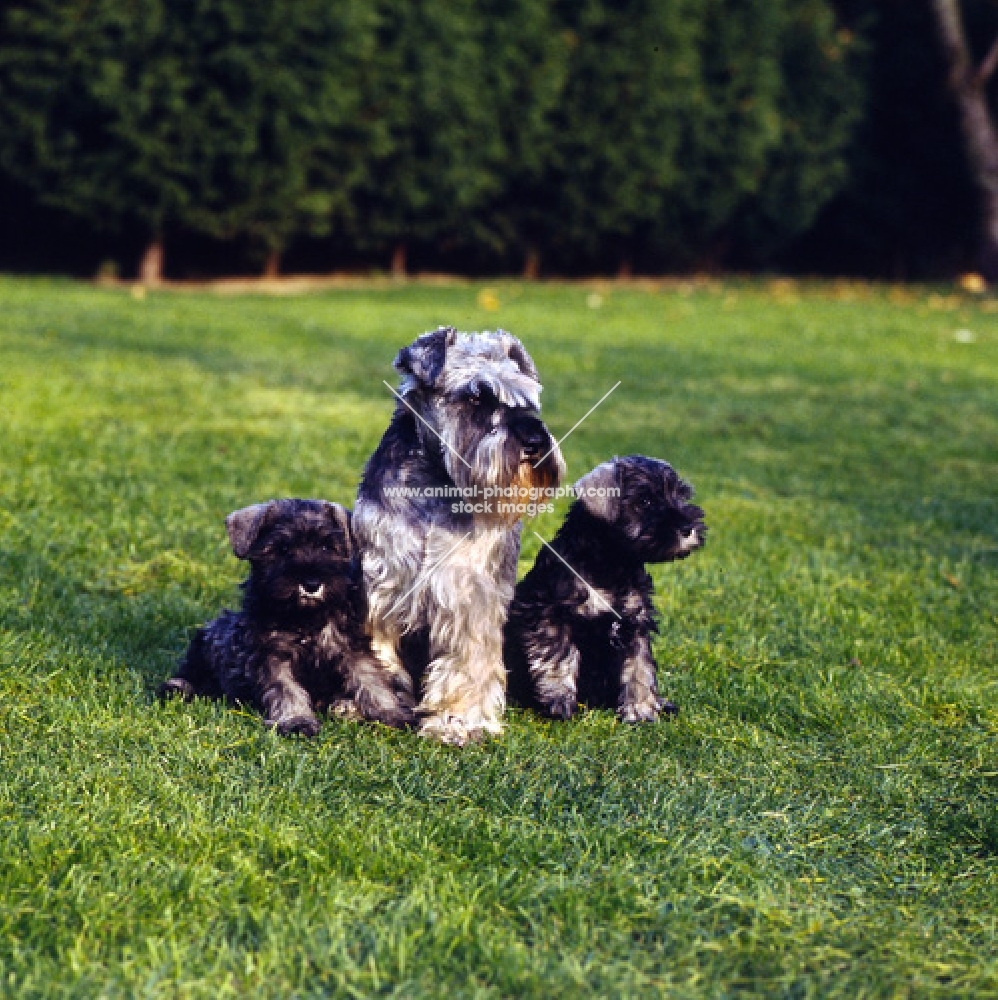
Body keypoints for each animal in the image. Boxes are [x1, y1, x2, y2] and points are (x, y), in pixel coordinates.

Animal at [159, 498, 414, 736]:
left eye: (327, 547)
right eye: (281, 549)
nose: (311, 583)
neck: (306, 619)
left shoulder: (352, 648)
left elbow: (372, 681)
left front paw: (392, 713)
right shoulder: (271, 655)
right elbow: (286, 689)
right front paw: (297, 720)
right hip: (207, 639)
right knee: (190, 672)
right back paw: (177, 687)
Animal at [356, 328, 568, 744]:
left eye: (526, 399)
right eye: (475, 396)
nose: (535, 440)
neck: (434, 486)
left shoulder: (470, 596)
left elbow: (468, 662)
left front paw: (457, 722)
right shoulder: (381, 587)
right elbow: (377, 649)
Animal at [508, 458, 712, 724]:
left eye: (680, 495)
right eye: (645, 501)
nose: (688, 528)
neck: (613, 564)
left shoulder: (636, 622)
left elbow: (639, 668)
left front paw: (641, 710)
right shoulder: (549, 615)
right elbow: (559, 658)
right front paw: (559, 702)